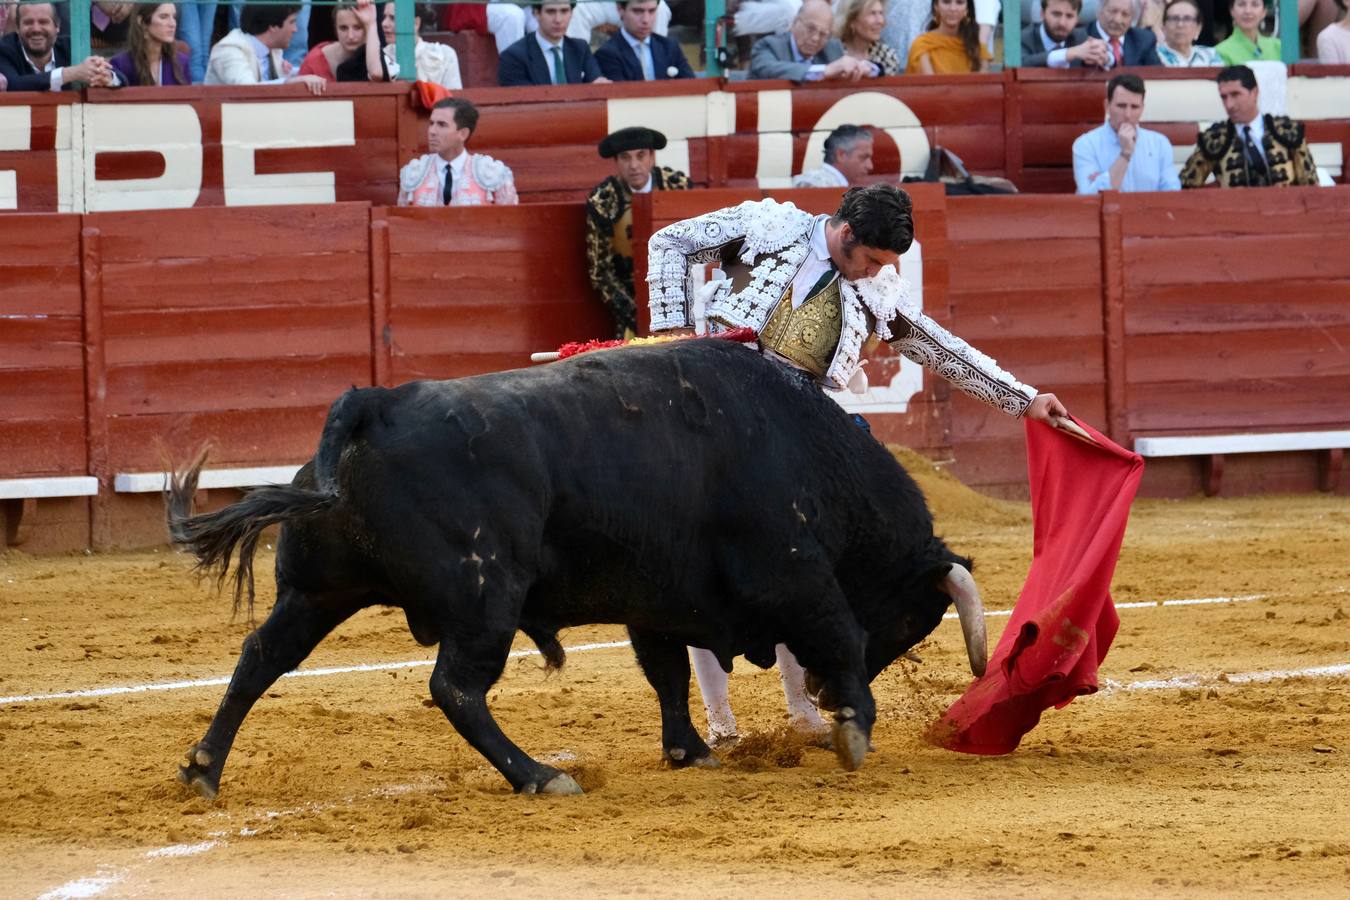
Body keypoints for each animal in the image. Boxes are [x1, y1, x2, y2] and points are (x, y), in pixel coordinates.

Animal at [171, 337, 982, 793]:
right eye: (912, 621)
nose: (817, 692)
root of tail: (375, 403)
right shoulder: (795, 573)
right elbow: (839, 633)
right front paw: (854, 729)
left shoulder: (660, 599)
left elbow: (667, 674)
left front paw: (690, 752)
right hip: (485, 598)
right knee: (456, 688)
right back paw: (541, 776)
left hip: (319, 590)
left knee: (261, 656)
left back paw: (204, 769)